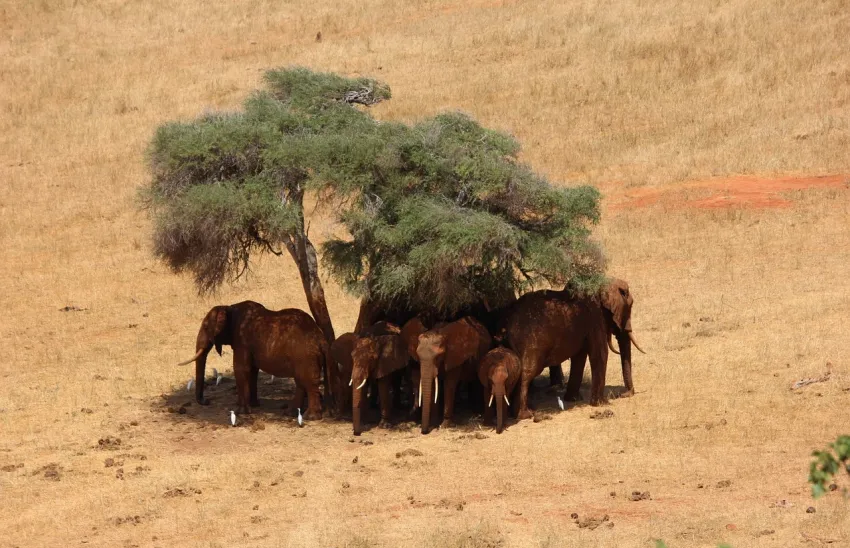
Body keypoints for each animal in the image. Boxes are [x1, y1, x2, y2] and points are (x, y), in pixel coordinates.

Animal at [178, 302, 332, 418]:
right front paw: (253, 405)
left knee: (308, 383)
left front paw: (241, 411)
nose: (207, 401)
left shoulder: (242, 340)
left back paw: (310, 417)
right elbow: (252, 371)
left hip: (305, 357)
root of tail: (321, 339)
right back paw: (290, 413)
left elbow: (241, 368)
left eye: (205, 327)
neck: (229, 307)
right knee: (301, 382)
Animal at [496, 278, 644, 420]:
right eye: (630, 307)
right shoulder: (595, 317)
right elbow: (600, 353)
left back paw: (516, 414)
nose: (624, 394)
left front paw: (573, 399)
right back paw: (525, 415)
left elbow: (579, 357)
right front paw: (601, 403)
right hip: (532, 342)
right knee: (527, 372)